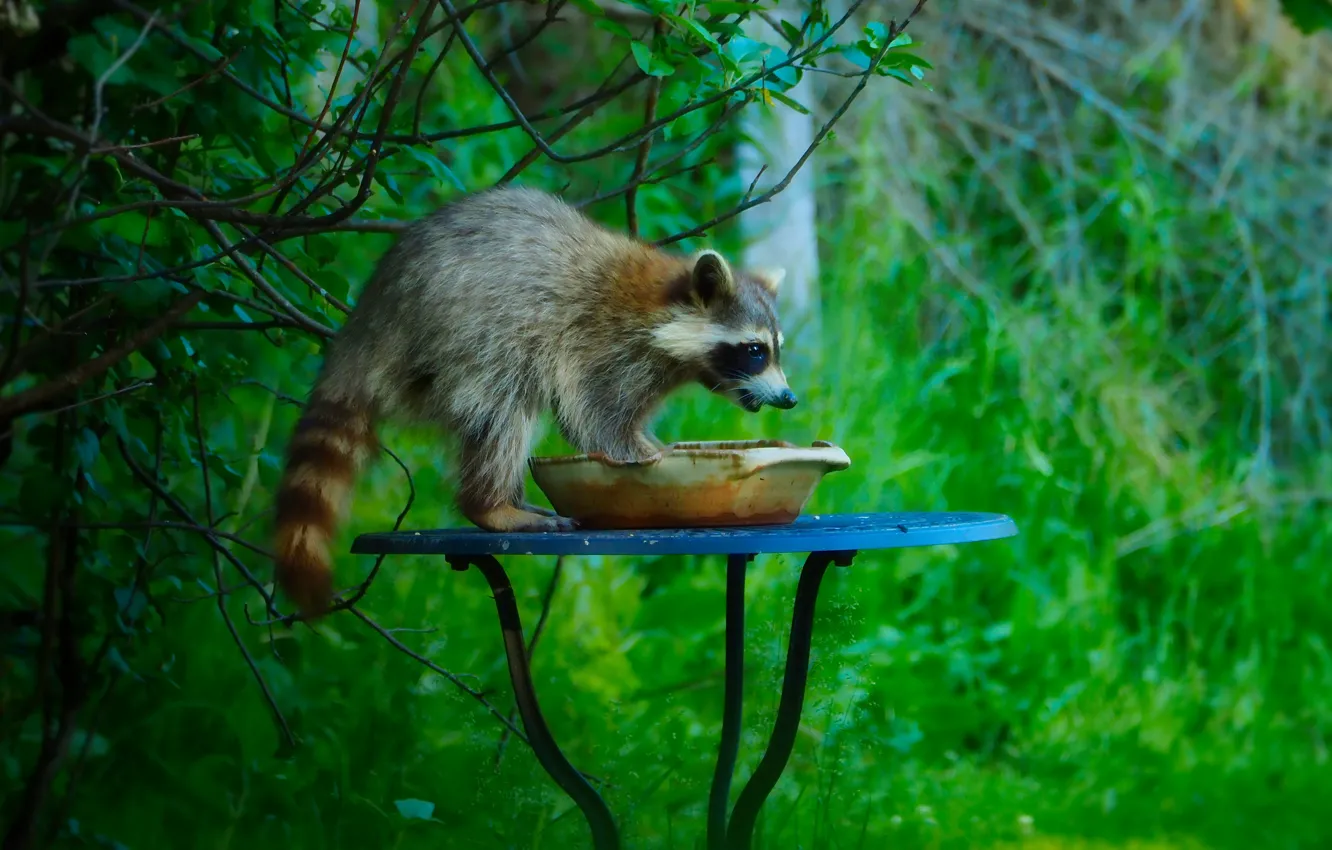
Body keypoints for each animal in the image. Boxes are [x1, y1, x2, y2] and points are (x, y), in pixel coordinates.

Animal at [267, 187, 788, 618]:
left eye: (776, 349)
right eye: (755, 351)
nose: (789, 398)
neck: (667, 311)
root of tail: (370, 320)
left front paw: (658, 445)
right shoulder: (605, 343)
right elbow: (593, 417)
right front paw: (646, 455)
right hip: (466, 331)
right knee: (504, 409)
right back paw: (492, 505)